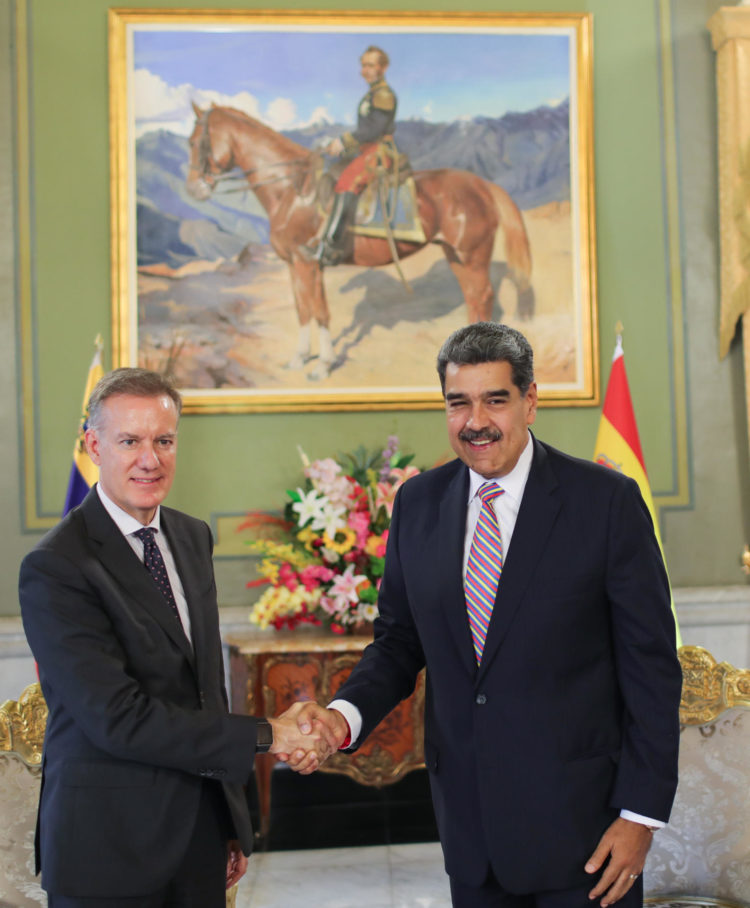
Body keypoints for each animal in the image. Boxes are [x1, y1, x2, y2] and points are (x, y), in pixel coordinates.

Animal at [185, 103, 532, 380]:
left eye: (196, 141)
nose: (193, 189)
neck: (292, 190)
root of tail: (482, 184)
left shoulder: (308, 262)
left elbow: (320, 312)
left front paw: (323, 365)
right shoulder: (297, 264)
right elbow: (303, 310)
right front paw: (299, 358)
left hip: (471, 255)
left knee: (482, 295)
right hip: (456, 256)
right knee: (474, 298)